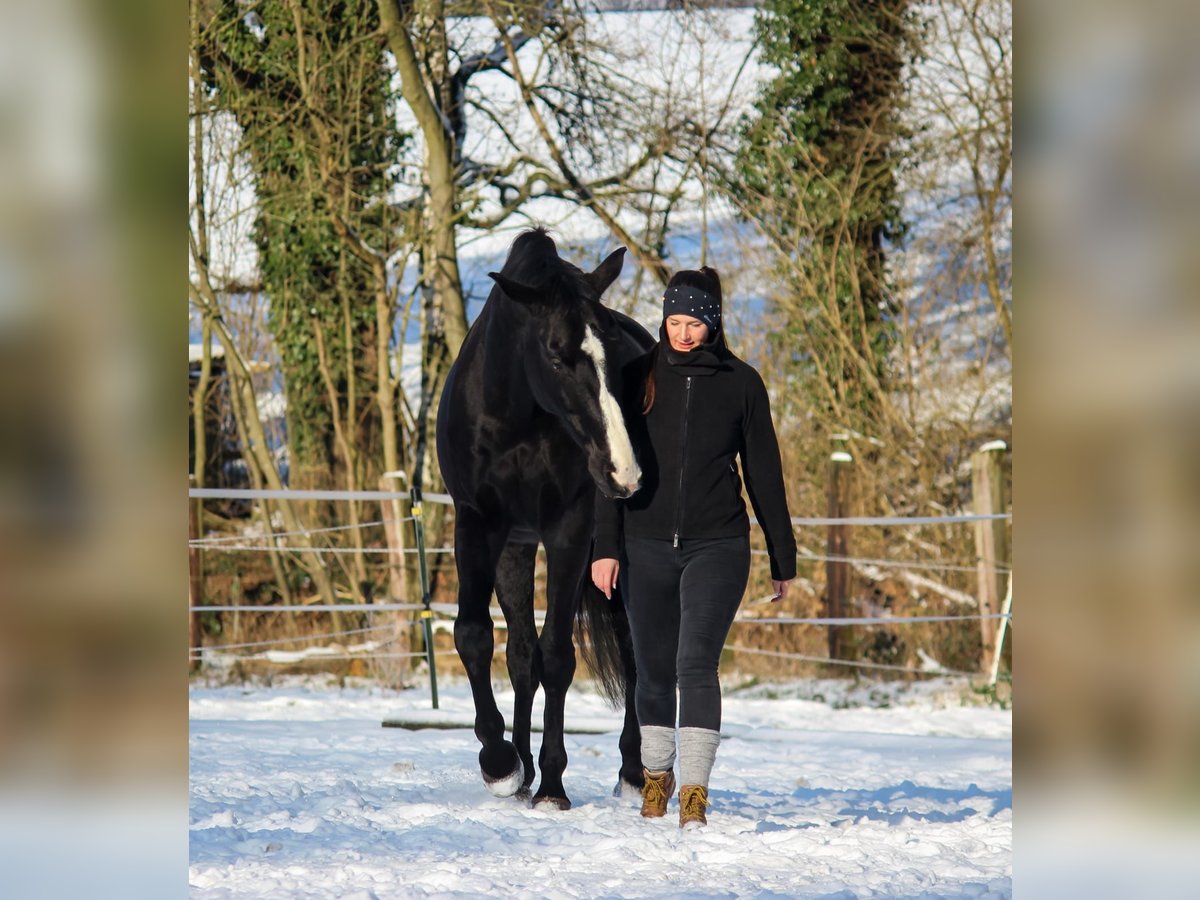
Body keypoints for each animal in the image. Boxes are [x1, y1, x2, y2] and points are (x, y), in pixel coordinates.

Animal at [436, 230, 652, 811]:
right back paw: (524, 767)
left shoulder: (568, 532)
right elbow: (478, 637)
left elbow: (556, 654)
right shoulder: (479, 525)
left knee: (635, 655)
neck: (517, 418)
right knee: (520, 655)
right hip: (517, 548)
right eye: (557, 354)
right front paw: (502, 763)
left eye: (612, 357)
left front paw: (552, 784)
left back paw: (633, 771)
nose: (622, 471)